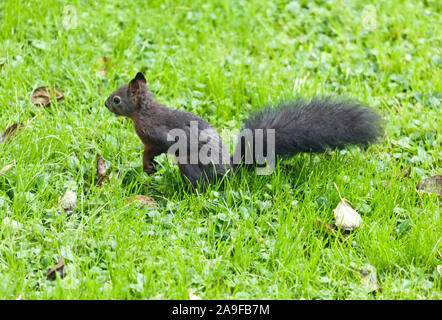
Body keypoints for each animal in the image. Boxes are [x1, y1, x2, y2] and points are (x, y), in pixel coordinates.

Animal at [104, 71, 384, 186]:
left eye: (117, 99)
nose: (105, 103)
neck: (143, 112)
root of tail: (230, 171)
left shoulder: (157, 135)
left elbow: (152, 149)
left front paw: (147, 165)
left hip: (191, 165)